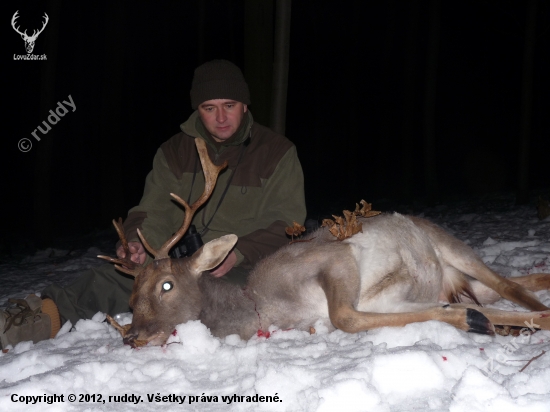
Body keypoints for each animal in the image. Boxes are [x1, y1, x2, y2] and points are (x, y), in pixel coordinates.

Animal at [100, 138, 550, 348]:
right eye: (131, 296)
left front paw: (476, 322)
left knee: (507, 284)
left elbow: (345, 316)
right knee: (515, 283)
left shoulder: (334, 257)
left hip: (448, 243)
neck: (266, 308)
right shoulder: (383, 303)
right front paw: (476, 319)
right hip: (457, 280)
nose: (132, 336)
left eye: (167, 284)